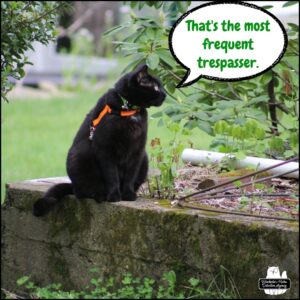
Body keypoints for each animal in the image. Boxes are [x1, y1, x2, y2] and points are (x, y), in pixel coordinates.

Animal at [32, 64, 166, 217]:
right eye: (156, 87)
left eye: (161, 86)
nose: (165, 94)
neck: (128, 110)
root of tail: (73, 186)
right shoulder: (105, 148)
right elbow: (111, 175)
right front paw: (114, 196)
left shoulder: (137, 150)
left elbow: (130, 175)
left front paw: (128, 194)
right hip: (81, 153)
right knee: (83, 192)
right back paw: (100, 195)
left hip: (144, 158)